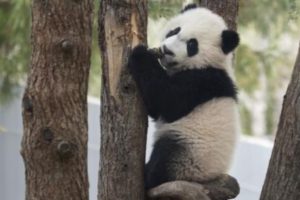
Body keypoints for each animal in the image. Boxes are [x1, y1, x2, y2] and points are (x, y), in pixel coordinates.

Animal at [127, 3, 240, 195]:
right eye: (174, 31)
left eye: (192, 45)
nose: (166, 50)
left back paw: (149, 176)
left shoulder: (203, 81)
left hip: (191, 153)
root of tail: (206, 180)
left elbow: (166, 101)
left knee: (166, 157)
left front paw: (141, 54)